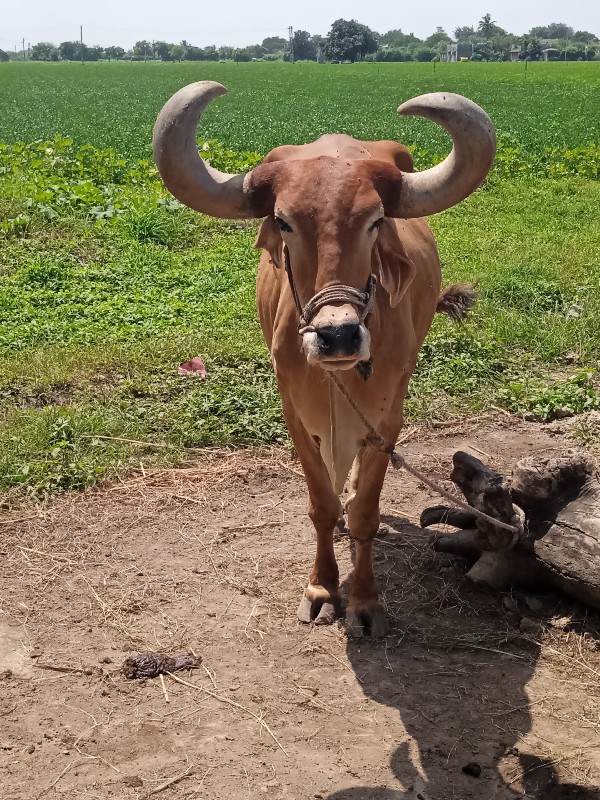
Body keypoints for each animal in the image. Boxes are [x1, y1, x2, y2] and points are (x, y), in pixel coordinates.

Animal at [152, 83, 494, 636]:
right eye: (284, 221)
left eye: (376, 221)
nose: (338, 335)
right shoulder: (294, 416)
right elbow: (320, 506)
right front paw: (321, 589)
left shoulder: (387, 420)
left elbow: (365, 513)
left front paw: (365, 602)